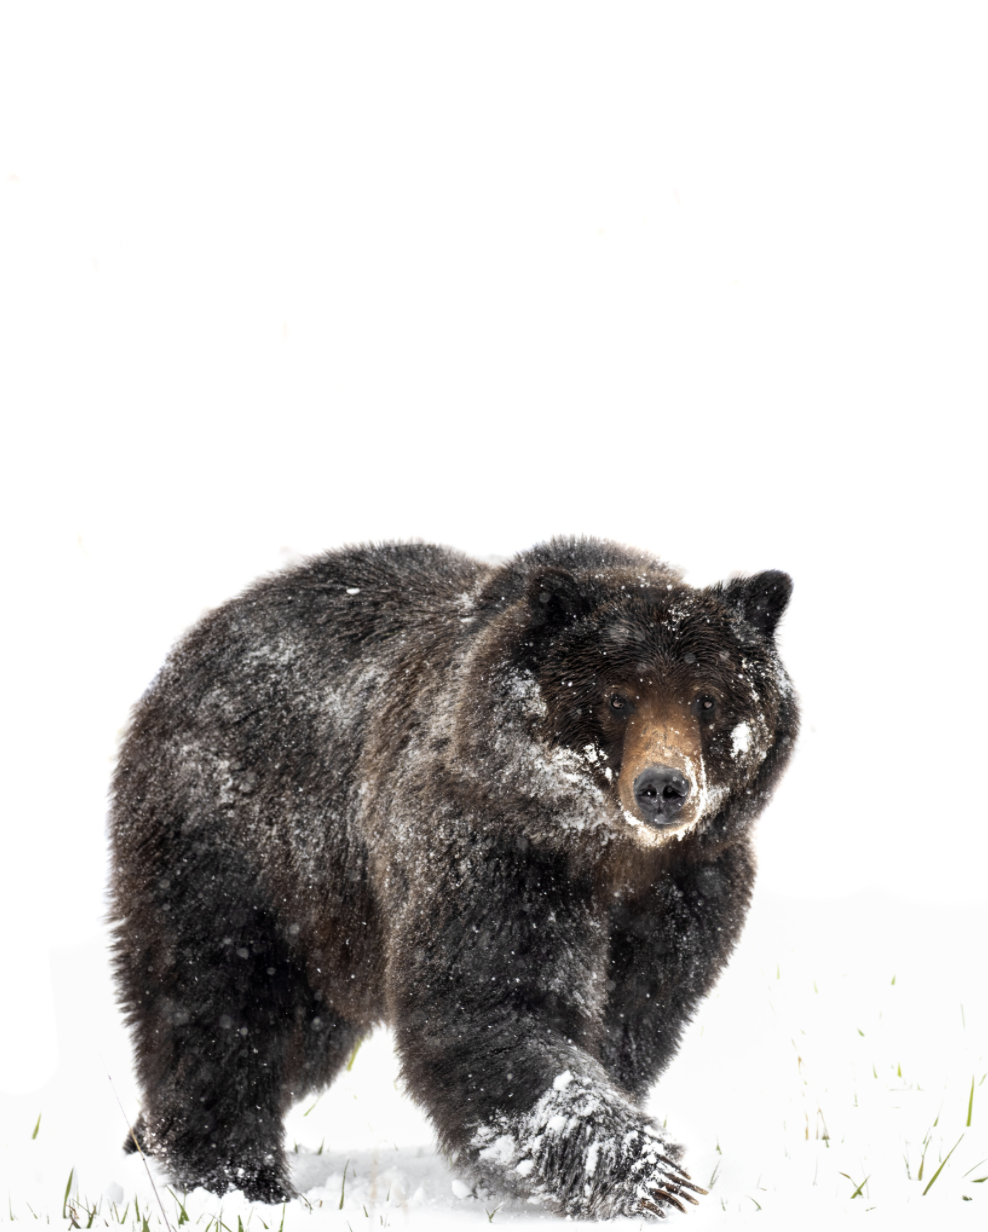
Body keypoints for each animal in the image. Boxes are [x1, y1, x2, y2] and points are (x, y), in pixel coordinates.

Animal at [108, 537, 798, 1219]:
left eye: (707, 697)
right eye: (618, 696)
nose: (663, 787)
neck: (605, 851)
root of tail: (190, 648)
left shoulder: (685, 889)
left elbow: (634, 1014)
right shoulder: (495, 856)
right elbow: (494, 1002)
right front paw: (645, 1172)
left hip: (336, 931)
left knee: (299, 1038)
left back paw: (148, 1136)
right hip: (243, 856)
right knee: (220, 1004)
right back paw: (240, 1176)